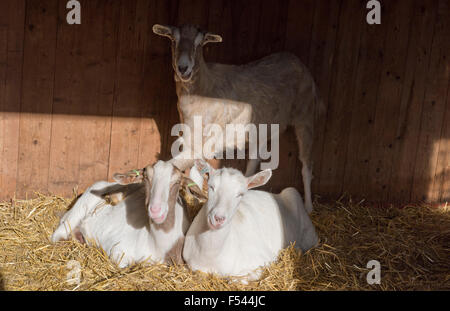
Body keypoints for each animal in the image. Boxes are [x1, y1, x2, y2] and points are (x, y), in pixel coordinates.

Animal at [51, 161, 204, 268]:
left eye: (177, 182)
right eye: (146, 178)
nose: (155, 210)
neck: (157, 243)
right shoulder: (118, 250)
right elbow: (122, 264)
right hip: (79, 208)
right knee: (59, 233)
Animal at [181, 161, 318, 282]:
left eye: (240, 194)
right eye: (211, 187)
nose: (218, 218)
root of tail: (275, 195)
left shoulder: (262, 260)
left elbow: (234, 279)